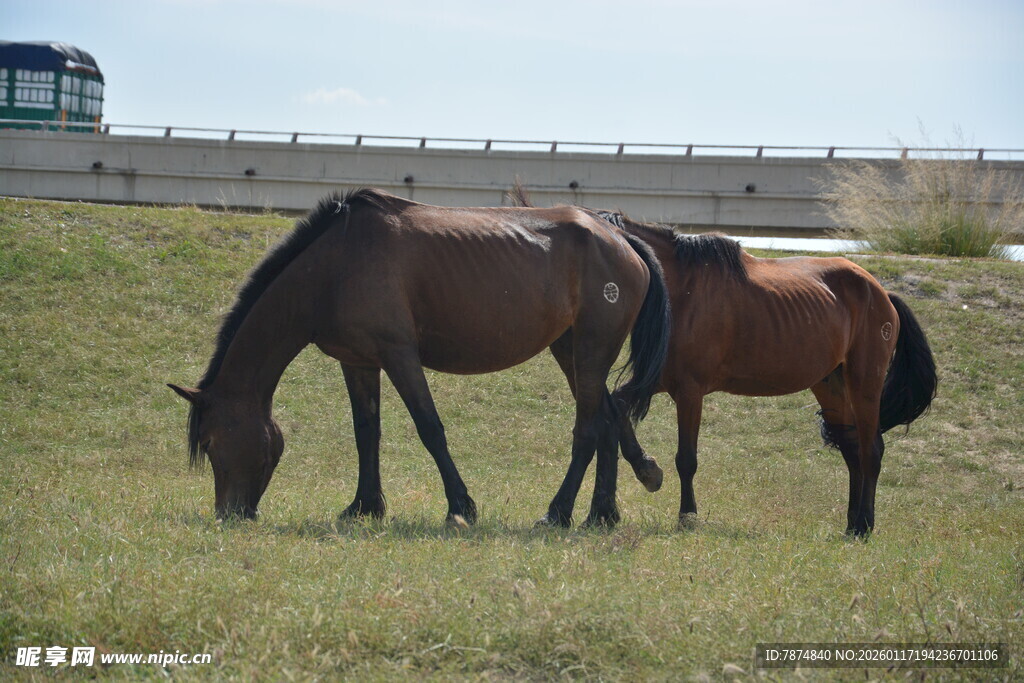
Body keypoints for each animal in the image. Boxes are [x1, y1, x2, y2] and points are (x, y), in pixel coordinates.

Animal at [168, 188, 670, 527]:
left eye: (209, 443)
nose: (229, 515)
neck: (334, 265)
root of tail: (618, 235)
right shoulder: (358, 362)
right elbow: (366, 433)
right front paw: (364, 507)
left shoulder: (399, 355)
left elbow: (430, 428)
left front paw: (460, 507)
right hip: (572, 351)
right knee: (608, 417)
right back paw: (604, 512)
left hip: (590, 350)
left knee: (588, 429)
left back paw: (558, 512)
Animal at [509, 188, 937, 535]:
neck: (680, 288)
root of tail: (880, 291)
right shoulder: (656, 383)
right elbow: (615, 414)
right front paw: (622, 494)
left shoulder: (690, 392)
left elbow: (686, 459)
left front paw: (687, 515)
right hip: (830, 384)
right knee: (852, 451)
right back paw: (852, 523)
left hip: (865, 382)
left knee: (871, 450)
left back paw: (865, 524)